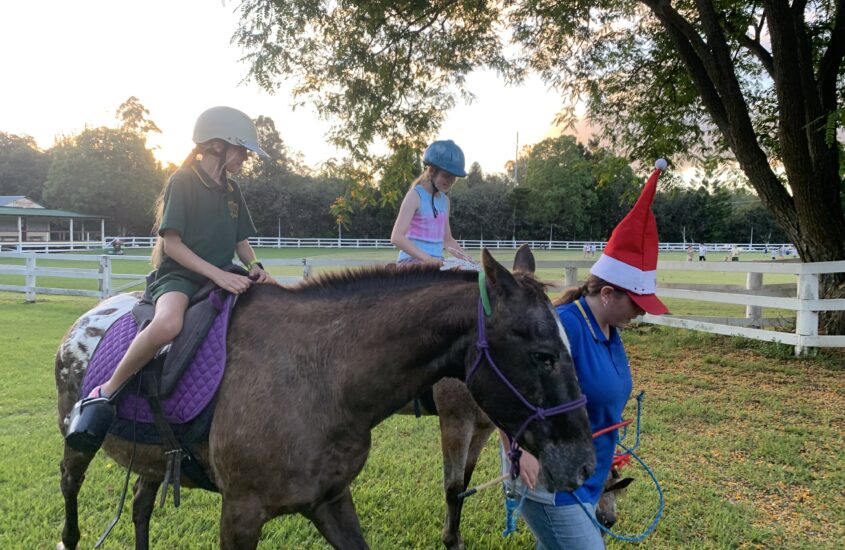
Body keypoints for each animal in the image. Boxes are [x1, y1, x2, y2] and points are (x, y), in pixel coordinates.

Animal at [54, 249, 592, 550]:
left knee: (141, 507)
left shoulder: (330, 500)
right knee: (71, 489)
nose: (585, 464)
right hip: (75, 447)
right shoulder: (240, 514)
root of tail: (86, 319)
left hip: (149, 459)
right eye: (544, 356)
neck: (322, 378)